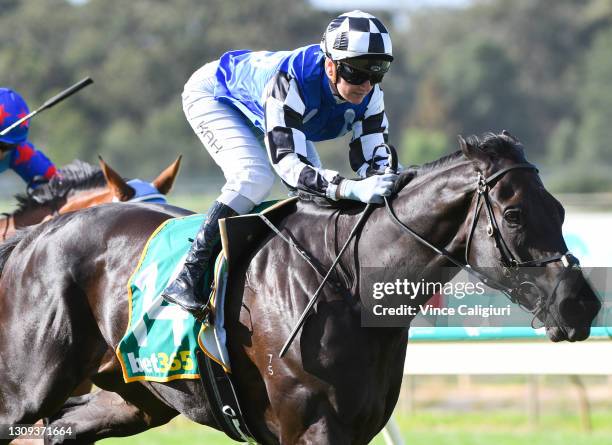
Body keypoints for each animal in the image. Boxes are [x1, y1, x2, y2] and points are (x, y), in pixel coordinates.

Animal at [0, 133, 600, 444]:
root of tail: (35, 237)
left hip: (128, 401)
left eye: (560, 209)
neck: (347, 283)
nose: (582, 304)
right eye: (515, 214)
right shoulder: (309, 429)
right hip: (28, 390)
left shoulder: (358, 428)